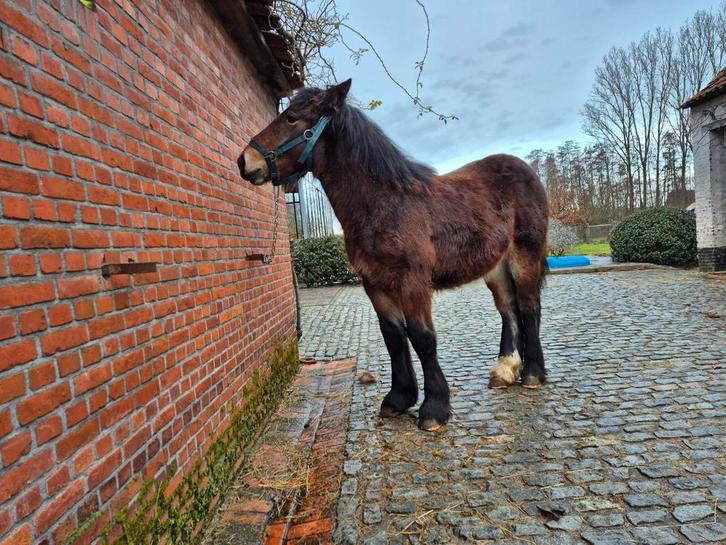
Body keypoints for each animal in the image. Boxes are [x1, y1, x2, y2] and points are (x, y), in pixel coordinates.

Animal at [238, 80, 549, 431]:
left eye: (291, 118)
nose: (245, 161)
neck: (385, 205)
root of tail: (526, 171)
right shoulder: (375, 284)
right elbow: (394, 337)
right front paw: (399, 399)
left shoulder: (413, 281)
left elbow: (422, 337)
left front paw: (434, 408)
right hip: (495, 267)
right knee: (508, 309)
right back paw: (505, 370)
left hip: (525, 255)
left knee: (529, 306)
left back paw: (532, 374)